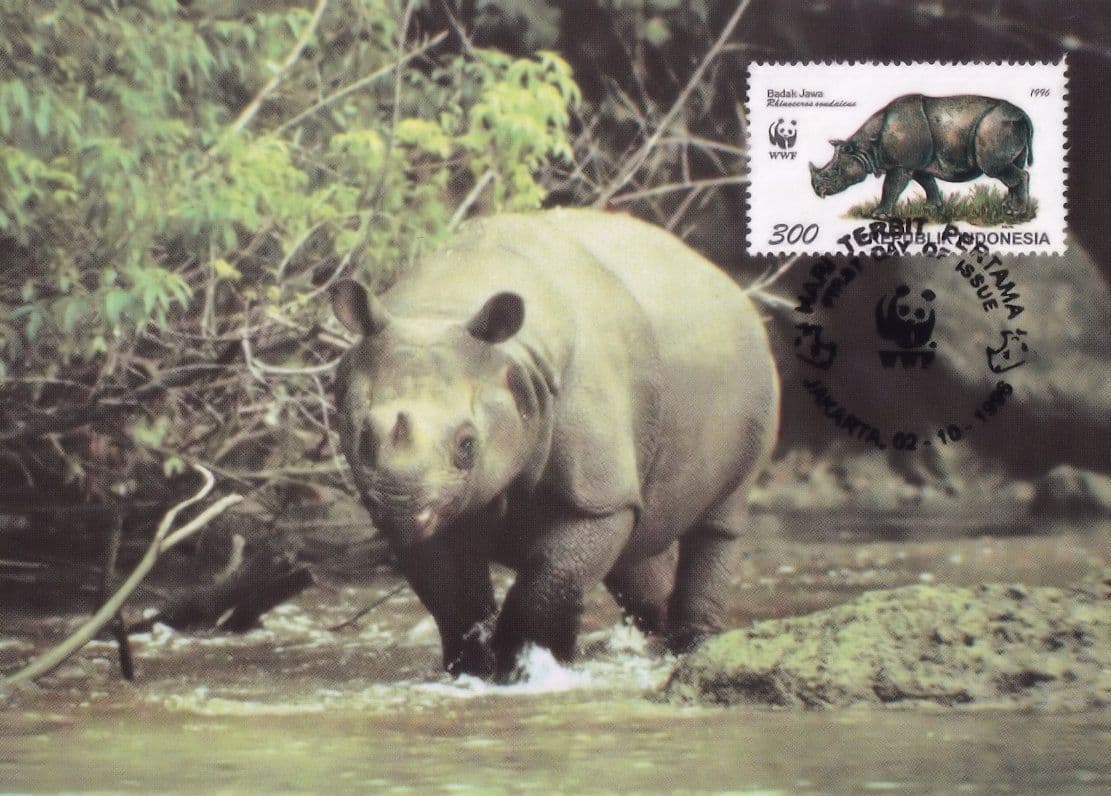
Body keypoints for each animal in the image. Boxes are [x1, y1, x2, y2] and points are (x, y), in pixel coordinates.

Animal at [810, 94, 1034, 218]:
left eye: (834, 172)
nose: (817, 191)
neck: (865, 148)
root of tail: (1024, 115)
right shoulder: (917, 162)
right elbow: (927, 182)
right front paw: (932, 208)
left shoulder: (902, 163)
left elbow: (891, 186)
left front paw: (879, 215)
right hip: (1005, 126)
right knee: (1012, 166)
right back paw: (1008, 208)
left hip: (995, 127)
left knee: (996, 168)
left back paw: (1015, 213)